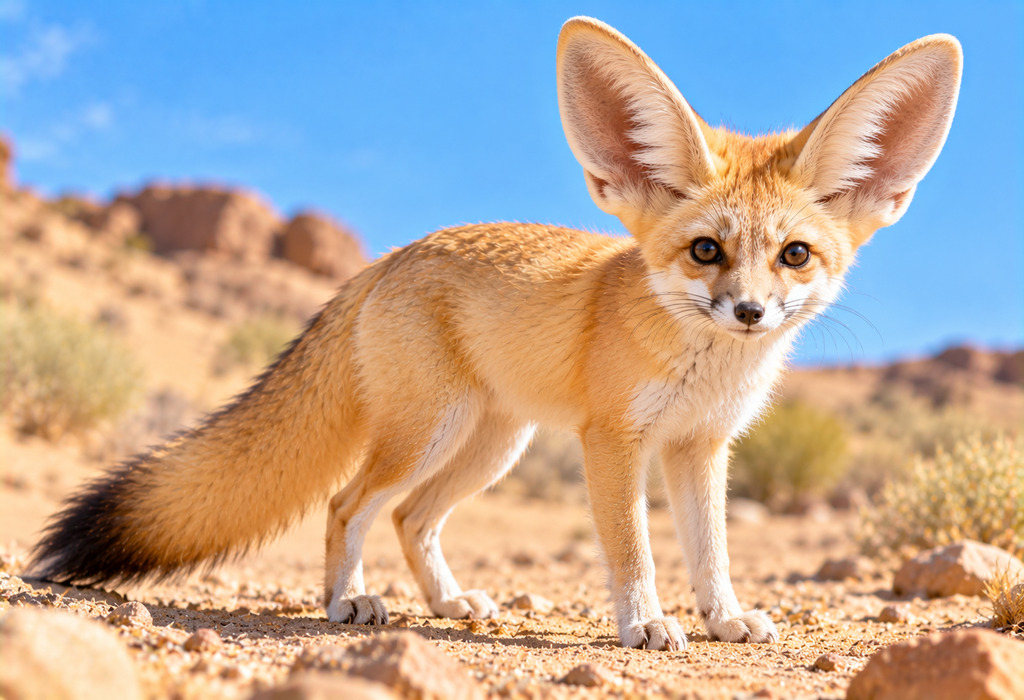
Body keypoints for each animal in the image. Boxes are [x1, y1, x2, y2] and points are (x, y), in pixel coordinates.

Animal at [31, 18, 961, 651]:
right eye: (707, 251)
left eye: (794, 255)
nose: (750, 312)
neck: (708, 370)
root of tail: (392, 255)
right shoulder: (613, 441)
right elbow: (634, 552)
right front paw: (646, 625)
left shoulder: (701, 449)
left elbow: (713, 555)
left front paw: (725, 619)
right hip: (430, 434)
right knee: (348, 504)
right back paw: (348, 602)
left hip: (490, 445)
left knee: (412, 520)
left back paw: (446, 604)